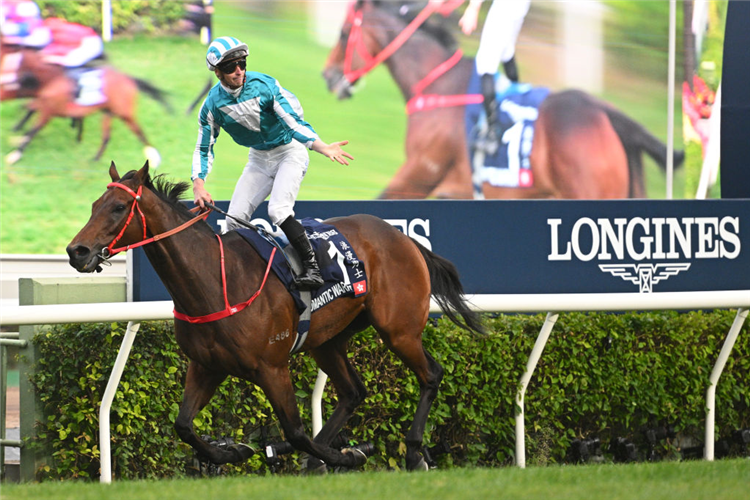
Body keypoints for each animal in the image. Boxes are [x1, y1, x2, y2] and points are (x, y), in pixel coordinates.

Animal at [3, 45, 170, 166]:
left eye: (12, 64)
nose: (7, 83)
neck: (53, 79)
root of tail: (129, 79)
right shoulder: (43, 105)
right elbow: (29, 112)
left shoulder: (48, 111)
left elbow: (32, 131)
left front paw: (14, 156)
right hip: (108, 112)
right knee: (106, 137)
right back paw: (95, 159)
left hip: (124, 113)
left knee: (139, 132)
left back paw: (154, 159)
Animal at [67, 161, 484, 472]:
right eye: (93, 205)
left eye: (118, 208)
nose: (76, 251)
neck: (215, 282)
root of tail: (404, 239)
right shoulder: (206, 365)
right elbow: (183, 425)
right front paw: (233, 451)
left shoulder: (272, 367)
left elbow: (295, 430)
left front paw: (345, 455)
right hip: (328, 341)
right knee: (354, 391)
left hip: (398, 329)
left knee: (431, 374)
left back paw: (412, 451)